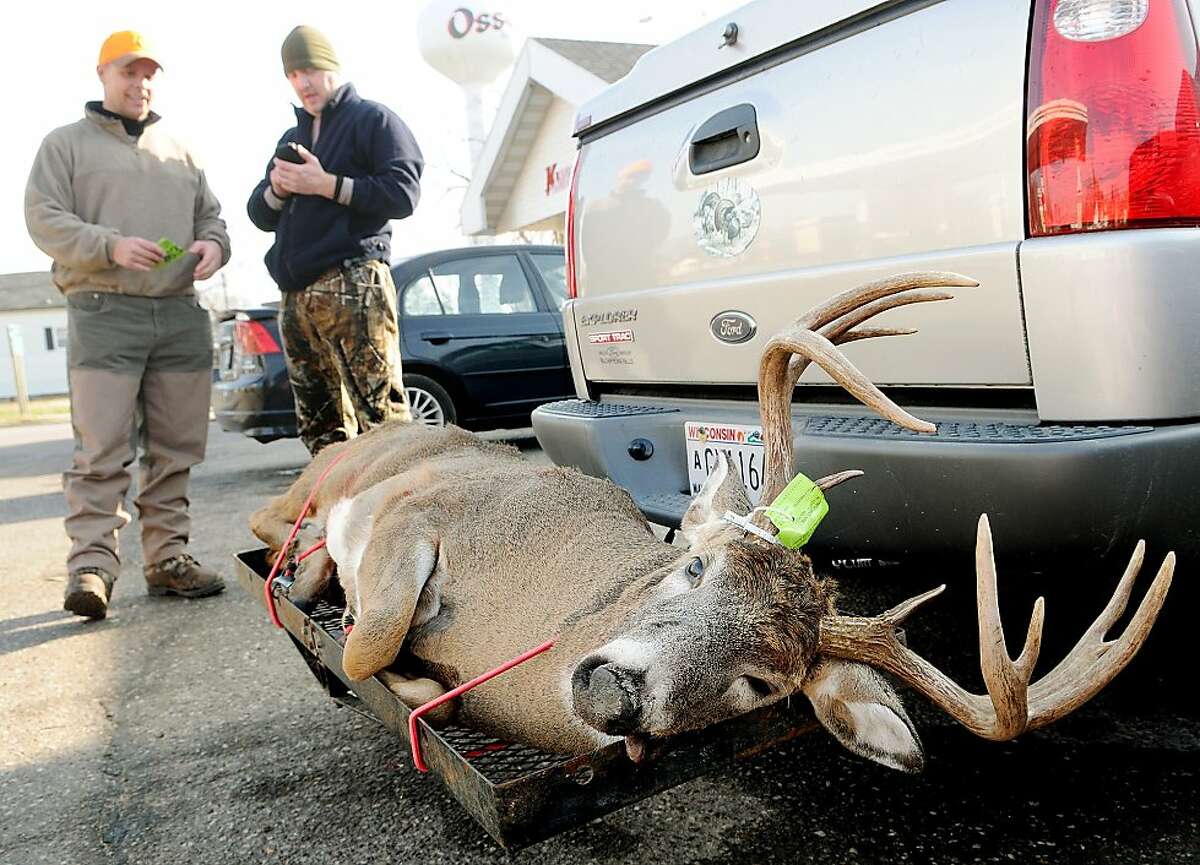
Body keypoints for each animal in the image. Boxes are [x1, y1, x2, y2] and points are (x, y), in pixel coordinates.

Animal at [249, 272, 1174, 772]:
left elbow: (392, 668)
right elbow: (367, 642)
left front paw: (421, 686)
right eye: (695, 567)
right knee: (271, 518)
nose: (614, 692)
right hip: (338, 468)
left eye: (758, 682)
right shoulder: (424, 505)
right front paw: (355, 623)